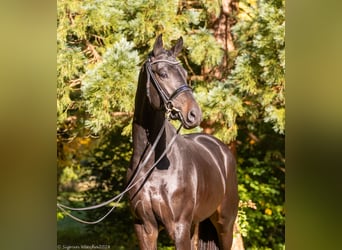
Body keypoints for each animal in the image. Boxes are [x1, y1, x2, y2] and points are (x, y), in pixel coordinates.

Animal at [127, 34, 238, 249]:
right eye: (162, 73)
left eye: (185, 73)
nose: (194, 114)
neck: (152, 164)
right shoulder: (144, 227)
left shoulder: (179, 227)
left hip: (225, 225)